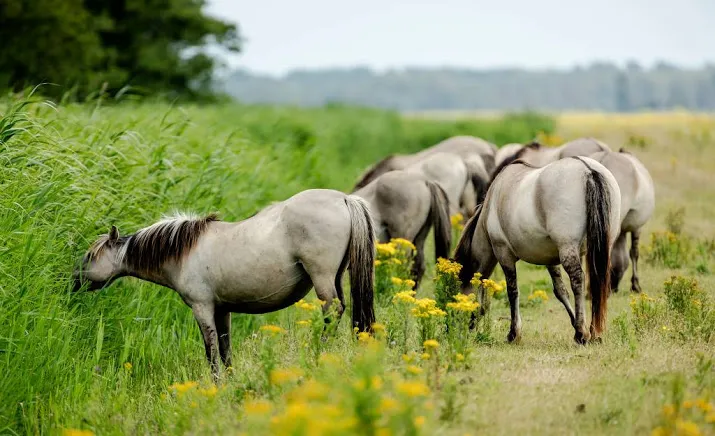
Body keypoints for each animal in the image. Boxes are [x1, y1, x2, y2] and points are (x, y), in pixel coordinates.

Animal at [71, 190, 380, 378]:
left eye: (89, 256)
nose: (73, 282)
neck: (184, 250)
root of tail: (344, 199)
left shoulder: (202, 308)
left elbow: (210, 351)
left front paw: (216, 384)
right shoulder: (223, 310)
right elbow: (225, 347)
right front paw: (231, 380)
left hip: (323, 278)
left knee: (332, 311)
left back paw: (319, 352)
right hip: (337, 277)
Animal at [458, 157, 620, 344]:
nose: (454, 327)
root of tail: (588, 170)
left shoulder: (503, 253)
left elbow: (512, 291)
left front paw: (514, 333)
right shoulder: (551, 259)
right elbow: (560, 291)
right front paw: (574, 323)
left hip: (567, 249)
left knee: (578, 280)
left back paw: (582, 333)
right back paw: (593, 332)